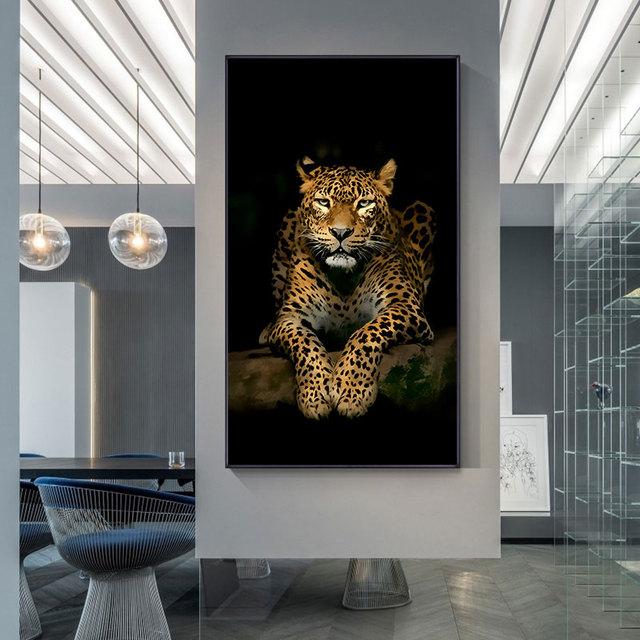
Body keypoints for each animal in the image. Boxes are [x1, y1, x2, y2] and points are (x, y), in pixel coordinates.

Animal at [259, 157, 437, 419]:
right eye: (324, 202)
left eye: (363, 203)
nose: (340, 232)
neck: (343, 277)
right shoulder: (290, 317)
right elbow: (305, 343)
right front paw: (315, 394)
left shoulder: (405, 306)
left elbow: (367, 333)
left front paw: (351, 390)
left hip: (422, 209)